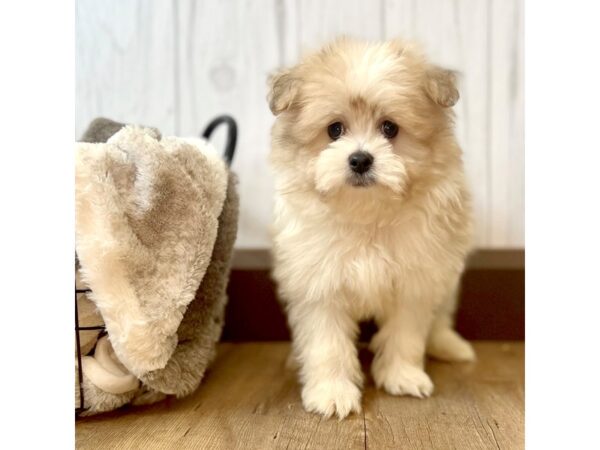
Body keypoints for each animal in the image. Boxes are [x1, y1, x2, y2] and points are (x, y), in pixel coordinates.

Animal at [270, 37, 476, 420]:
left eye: (389, 128)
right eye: (335, 129)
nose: (360, 159)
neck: (368, 214)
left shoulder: (416, 279)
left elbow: (406, 334)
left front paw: (403, 376)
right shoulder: (319, 283)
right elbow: (327, 343)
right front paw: (332, 392)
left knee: (440, 317)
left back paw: (449, 346)